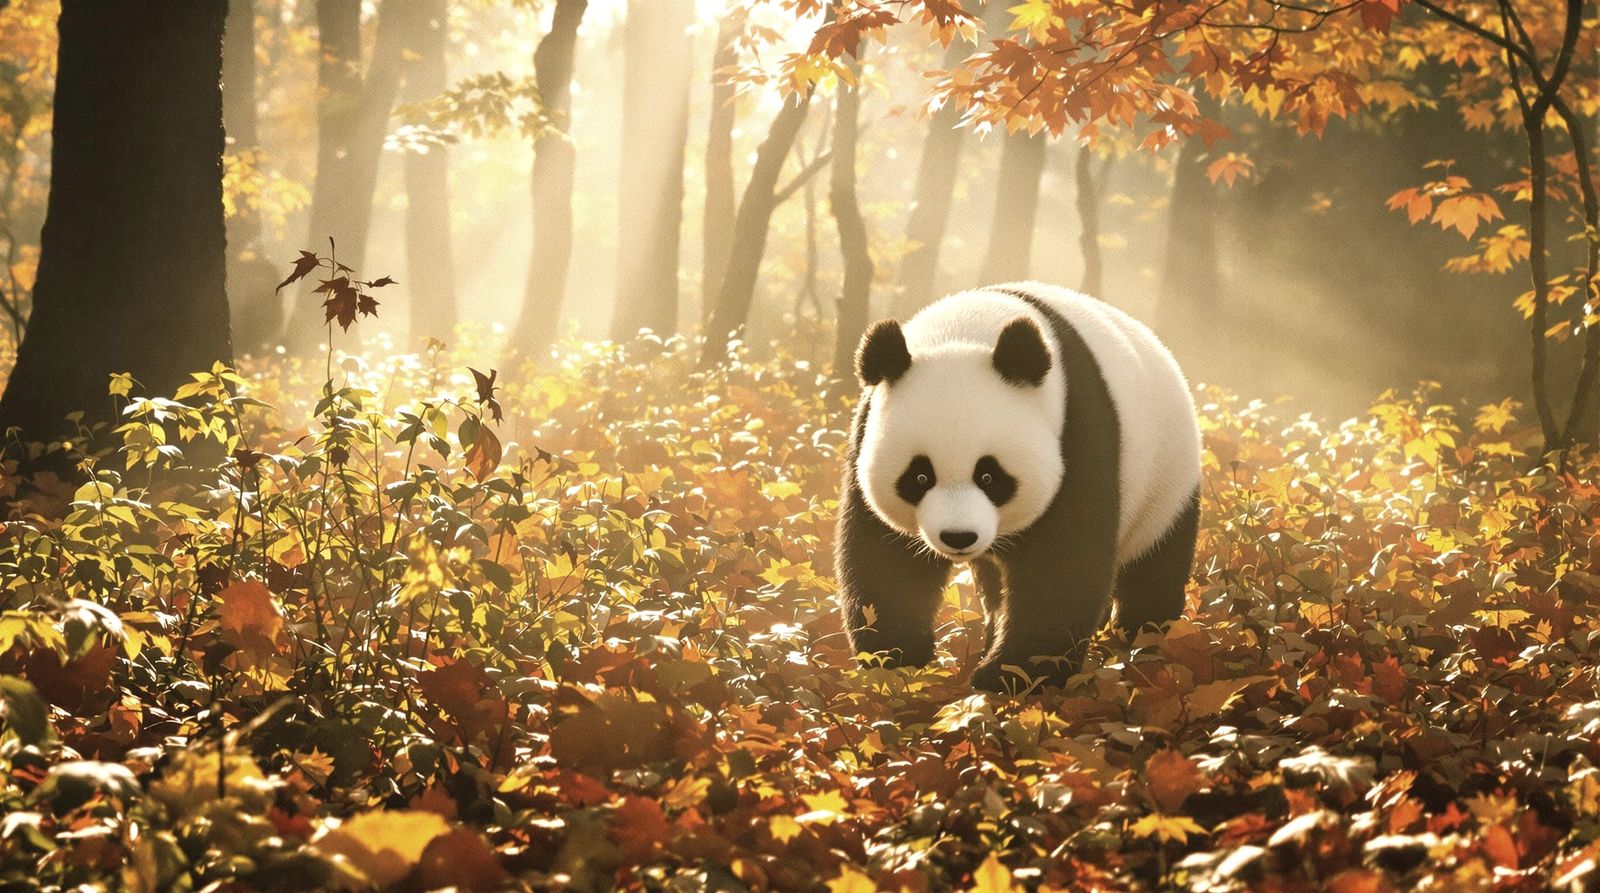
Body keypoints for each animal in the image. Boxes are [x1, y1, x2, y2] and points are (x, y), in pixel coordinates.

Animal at [836, 281, 1202, 693]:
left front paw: (1010, 674)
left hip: (1165, 477)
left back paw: (1142, 641)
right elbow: (885, 558)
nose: (958, 537)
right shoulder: (865, 432)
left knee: (1155, 565)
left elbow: (1063, 564)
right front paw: (896, 658)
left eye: (989, 476)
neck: (965, 332)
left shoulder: (1078, 433)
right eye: (919, 477)